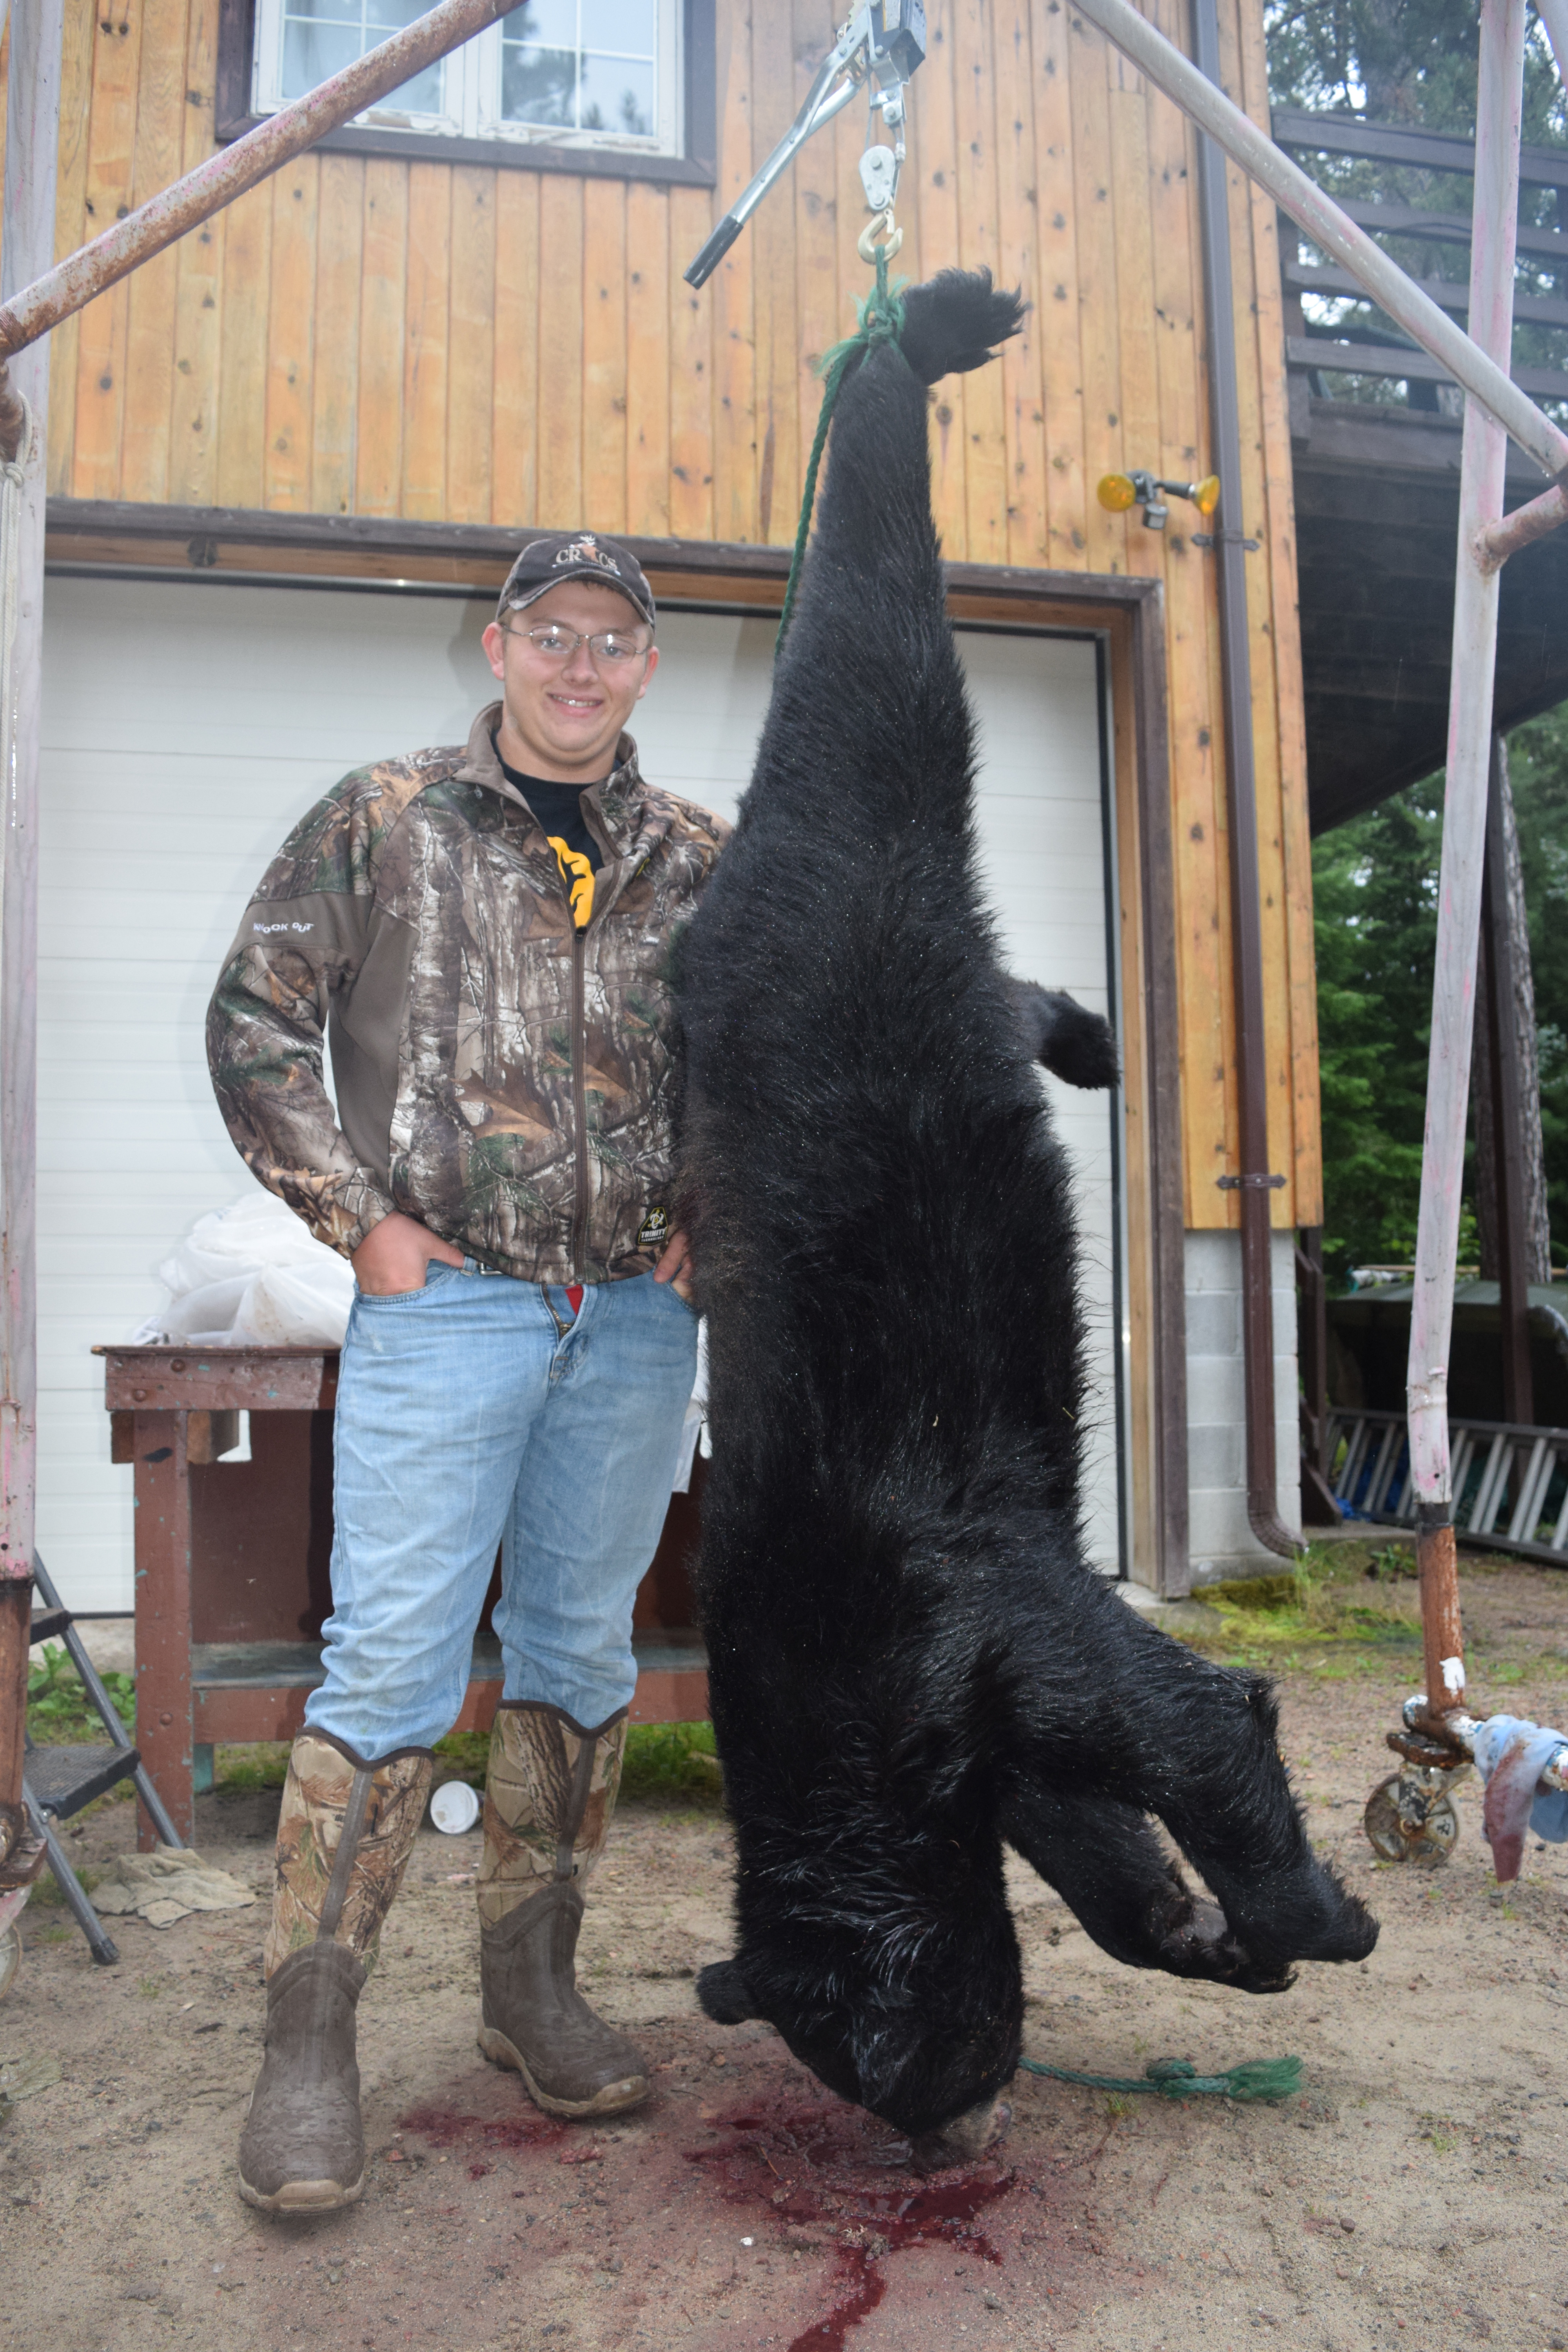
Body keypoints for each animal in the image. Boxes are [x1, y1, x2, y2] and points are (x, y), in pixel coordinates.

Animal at [673, 267, 1376, 2171]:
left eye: (896, 2049)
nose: (943, 2132)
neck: (842, 1729)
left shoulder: (973, 1630)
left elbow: (1197, 1721)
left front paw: (1308, 1914)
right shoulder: (997, 1747)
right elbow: (1098, 1843)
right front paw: (1206, 1937)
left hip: (852, 812)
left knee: (888, 606)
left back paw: (926, 332)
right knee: (1024, 988)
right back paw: (1099, 1040)